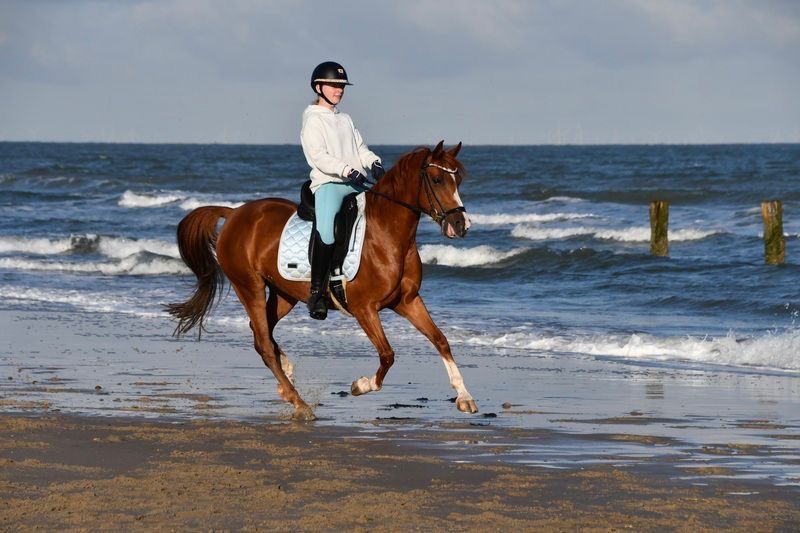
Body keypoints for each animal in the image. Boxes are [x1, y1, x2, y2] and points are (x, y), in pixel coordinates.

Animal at [167, 140, 477, 420]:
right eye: (437, 179)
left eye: (458, 180)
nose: (461, 225)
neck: (387, 235)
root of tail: (234, 214)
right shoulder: (365, 309)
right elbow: (387, 354)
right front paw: (361, 385)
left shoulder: (408, 301)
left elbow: (441, 340)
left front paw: (465, 398)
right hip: (249, 286)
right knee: (263, 342)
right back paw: (298, 401)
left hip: (284, 294)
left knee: (260, 332)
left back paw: (287, 373)